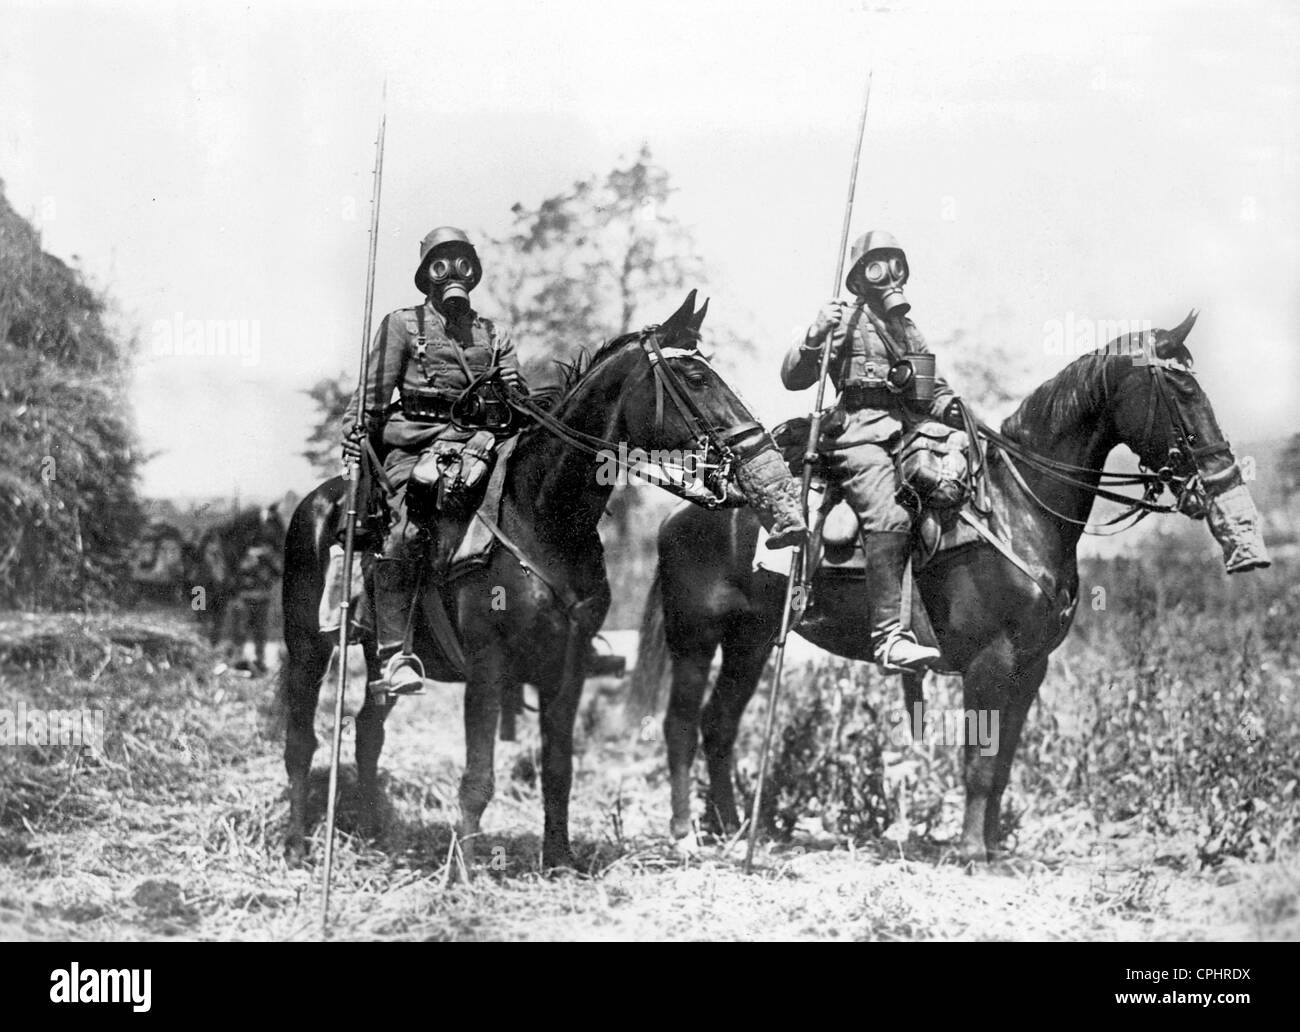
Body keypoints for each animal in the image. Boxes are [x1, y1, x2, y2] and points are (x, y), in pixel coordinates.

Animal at [279, 291, 806, 868]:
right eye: (695, 377)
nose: (760, 451)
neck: (540, 516)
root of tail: (321, 500)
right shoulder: (487, 664)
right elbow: (478, 775)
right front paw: (464, 869)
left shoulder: (569, 667)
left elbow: (559, 766)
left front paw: (559, 858)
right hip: (306, 646)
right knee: (301, 741)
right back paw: (299, 844)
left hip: (377, 657)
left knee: (367, 731)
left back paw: (375, 834)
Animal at [629, 311, 1268, 863]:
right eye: (1182, 390)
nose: (1222, 474)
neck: (1018, 508)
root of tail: (685, 511)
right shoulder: (990, 662)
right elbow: (979, 764)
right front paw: (970, 852)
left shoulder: (1030, 668)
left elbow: (1003, 763)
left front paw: (994, 847)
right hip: (695, 639)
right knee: (680, 726)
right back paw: (687, 834)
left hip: (752, 641)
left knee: (719, 726)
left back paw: (734, 829)